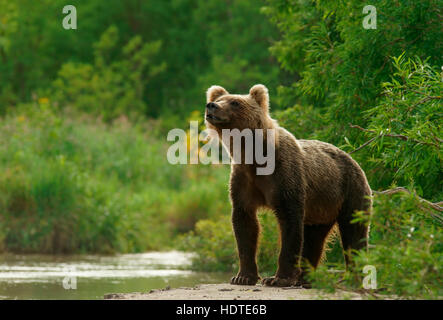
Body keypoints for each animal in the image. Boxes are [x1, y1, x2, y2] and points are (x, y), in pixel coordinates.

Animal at [206, 84, 372, 286]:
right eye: (219, 98)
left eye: (235, 102)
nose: (211, 106)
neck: (254, 157)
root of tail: (355, 161)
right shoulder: (243, 179)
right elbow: (244, 223)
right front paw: (243, 276)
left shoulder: (285, 174)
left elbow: (290, 222)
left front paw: (277, 278)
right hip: (322, 208)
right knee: (314, 238)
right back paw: (306, 278)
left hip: (350, 191)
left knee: (354, 231)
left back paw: (353, 277)